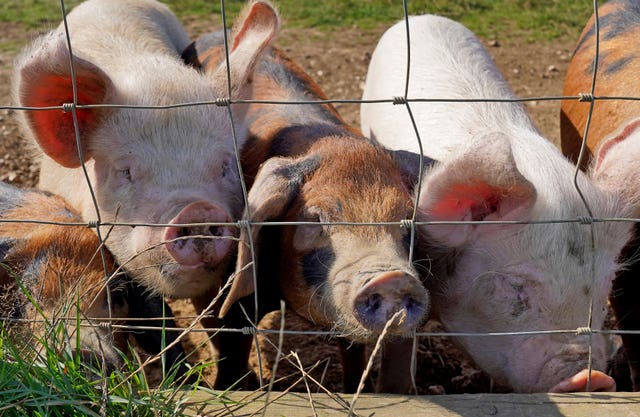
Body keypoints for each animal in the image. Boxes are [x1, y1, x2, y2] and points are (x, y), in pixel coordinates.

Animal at [183, 7, 430, 393]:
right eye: (315, 217)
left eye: (406, 220)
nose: (392, 278)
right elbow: (229, 343)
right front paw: (239, 387)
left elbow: (353, 354)